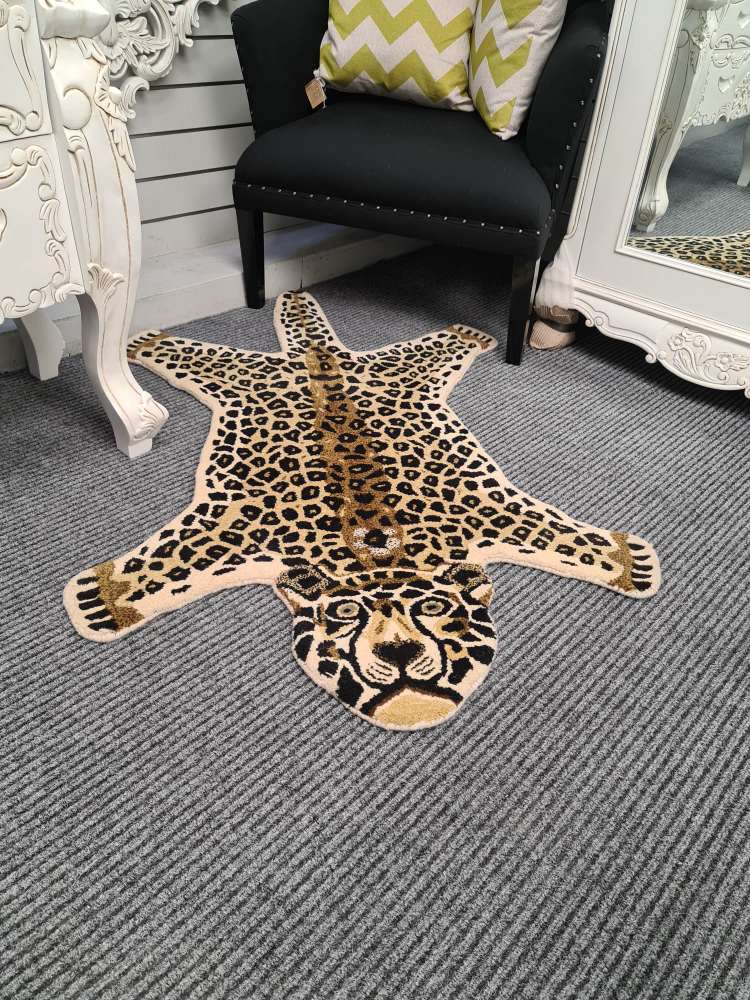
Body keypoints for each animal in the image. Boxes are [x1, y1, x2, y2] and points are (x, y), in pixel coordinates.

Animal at [65, 292, 661, 730]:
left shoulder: (494, 509)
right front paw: (102, 595)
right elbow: (156, 569)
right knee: (201, 356)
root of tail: (317, 354)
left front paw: (628, 559)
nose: (398, 653)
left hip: (403, 368)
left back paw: (465, 333)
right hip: (239, 376)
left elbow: (564, 538)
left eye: (435, 609)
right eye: (345, 615)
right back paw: (150, 337)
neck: (377, 556)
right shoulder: (234, 523)